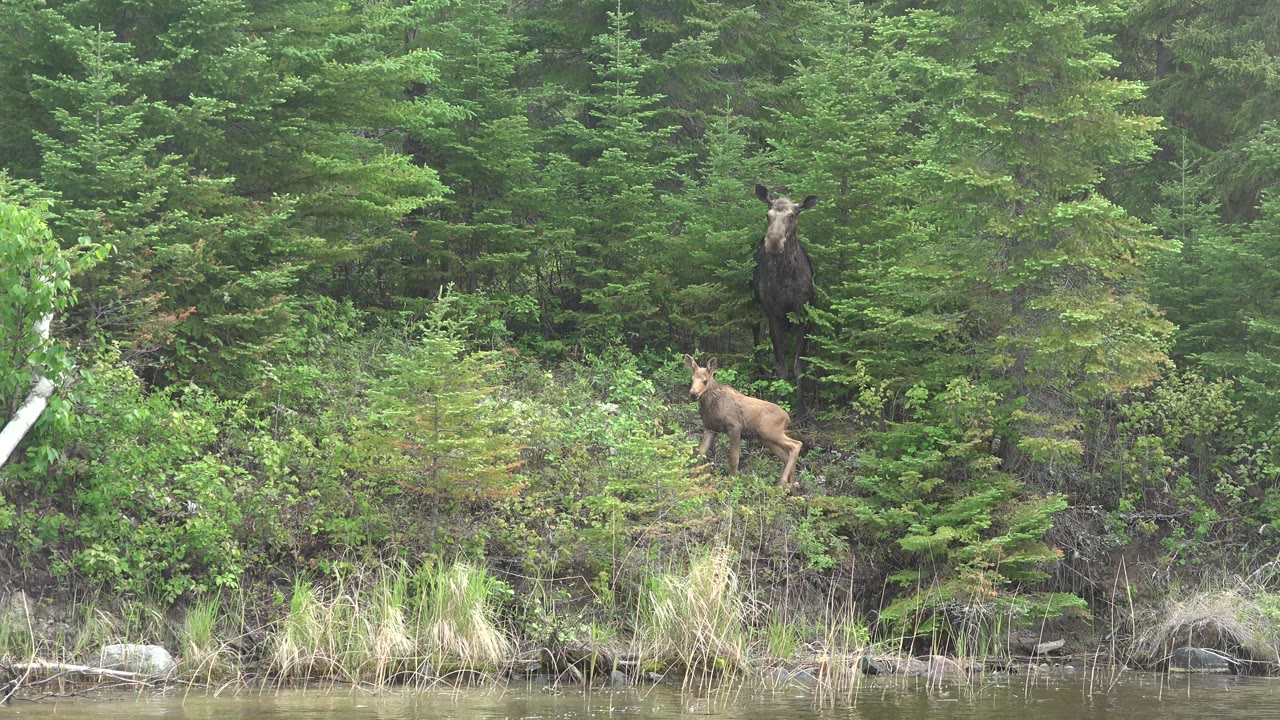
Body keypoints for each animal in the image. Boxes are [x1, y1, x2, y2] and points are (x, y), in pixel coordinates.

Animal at [684, 354, 802, 487]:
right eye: (692, 379)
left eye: (705, 381)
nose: (693, 394)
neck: (711, 405)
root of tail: (788, 418)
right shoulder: (710, 428)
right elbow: (700, 453)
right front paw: (692, 478)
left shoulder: (735, 426)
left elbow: (734, 456)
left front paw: (733, 479)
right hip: (765, 438)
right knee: (786, 455)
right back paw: (791, 484)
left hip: (771, 433)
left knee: (796, 444)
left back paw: (782, 482)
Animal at [753, 184, 818, 384]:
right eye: (768, 214)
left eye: (792, 215)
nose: (773, 242)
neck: (787, 277)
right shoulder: (774, 316)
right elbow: (782, 369)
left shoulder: (803, 314)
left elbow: (798, 367)